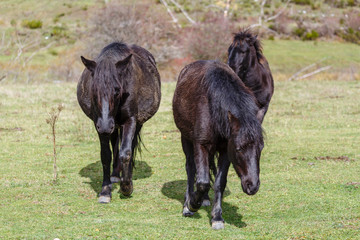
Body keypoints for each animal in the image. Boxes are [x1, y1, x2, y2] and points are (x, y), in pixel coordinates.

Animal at [77, 41, 160, 202]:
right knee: (115, 143)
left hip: (133, 124)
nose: (105, 126)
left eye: (117, 90)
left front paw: (126, 187)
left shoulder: (130, 121)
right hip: (113, 127)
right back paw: (115, 175)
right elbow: (106, 155)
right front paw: (105, 190)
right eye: (93, 89)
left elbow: (126, 152)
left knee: (130, 147)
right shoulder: (98, 124)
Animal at [173, 59, 266, 229]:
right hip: (186, 139)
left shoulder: (225, 150)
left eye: (260, 148)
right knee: (191, 169)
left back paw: (204, 199)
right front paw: (192, 205)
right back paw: (188, 203)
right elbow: (202, 181)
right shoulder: (200, 145)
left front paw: (216, 217)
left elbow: (219, 182)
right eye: (239, 148)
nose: (253, 186)